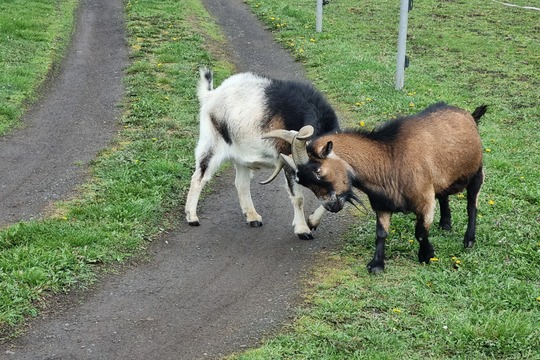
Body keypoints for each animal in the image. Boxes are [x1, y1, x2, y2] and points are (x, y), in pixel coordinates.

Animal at [184, 67, 340, 239]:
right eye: (308, 177)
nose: (335, 207)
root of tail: (210, 95)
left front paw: (312, 222)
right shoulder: (288, 161)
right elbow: (298, 198)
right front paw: (303, 230)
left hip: (240, 155)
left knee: (241, 183)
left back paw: (253, 218)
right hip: (211, 144)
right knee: (199, 177)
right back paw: (192, 218)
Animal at [264, 102, 488, 272]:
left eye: (318, 171)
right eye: (302, 181)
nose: (331, 206)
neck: (389, 159)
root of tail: (469, 116)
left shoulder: (424, 201)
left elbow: (420, 231)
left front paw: (427, 256)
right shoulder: (381, 205)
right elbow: (380, 234)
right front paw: (376, 265)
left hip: (477, 172)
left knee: (472, 205)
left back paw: (468, 240)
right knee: (444, 195)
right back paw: (445, 224)